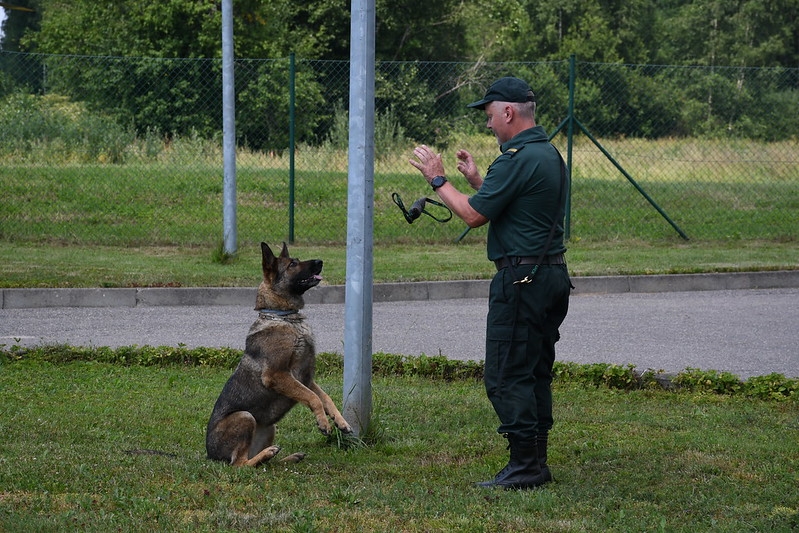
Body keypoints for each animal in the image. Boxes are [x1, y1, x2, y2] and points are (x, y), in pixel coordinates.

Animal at [205, 241, 352, 466]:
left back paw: (286, 457)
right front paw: (324, 423)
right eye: (293, 264)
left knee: (263, 465)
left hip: (269, 427)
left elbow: (325, 397)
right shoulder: (278, 375)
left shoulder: (305, 378)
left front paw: (340, 421)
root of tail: (210, 455)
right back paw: (268, 453)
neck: (284, 317)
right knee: (241, 464)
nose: (320, 261)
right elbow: (313, 398)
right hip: (245, 417)